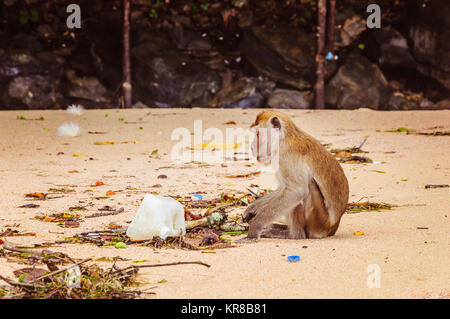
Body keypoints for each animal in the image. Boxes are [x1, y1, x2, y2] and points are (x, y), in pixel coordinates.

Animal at [241, 111, 350, 239]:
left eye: (258, 133)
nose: (252, 147)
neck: (283, 139)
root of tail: (332, 228)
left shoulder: (285, 156)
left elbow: (296, 191)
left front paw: (255, 227)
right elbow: (283, 187)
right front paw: (253, 208)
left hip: (318, 223)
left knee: (307, 186)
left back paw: (294, 234)